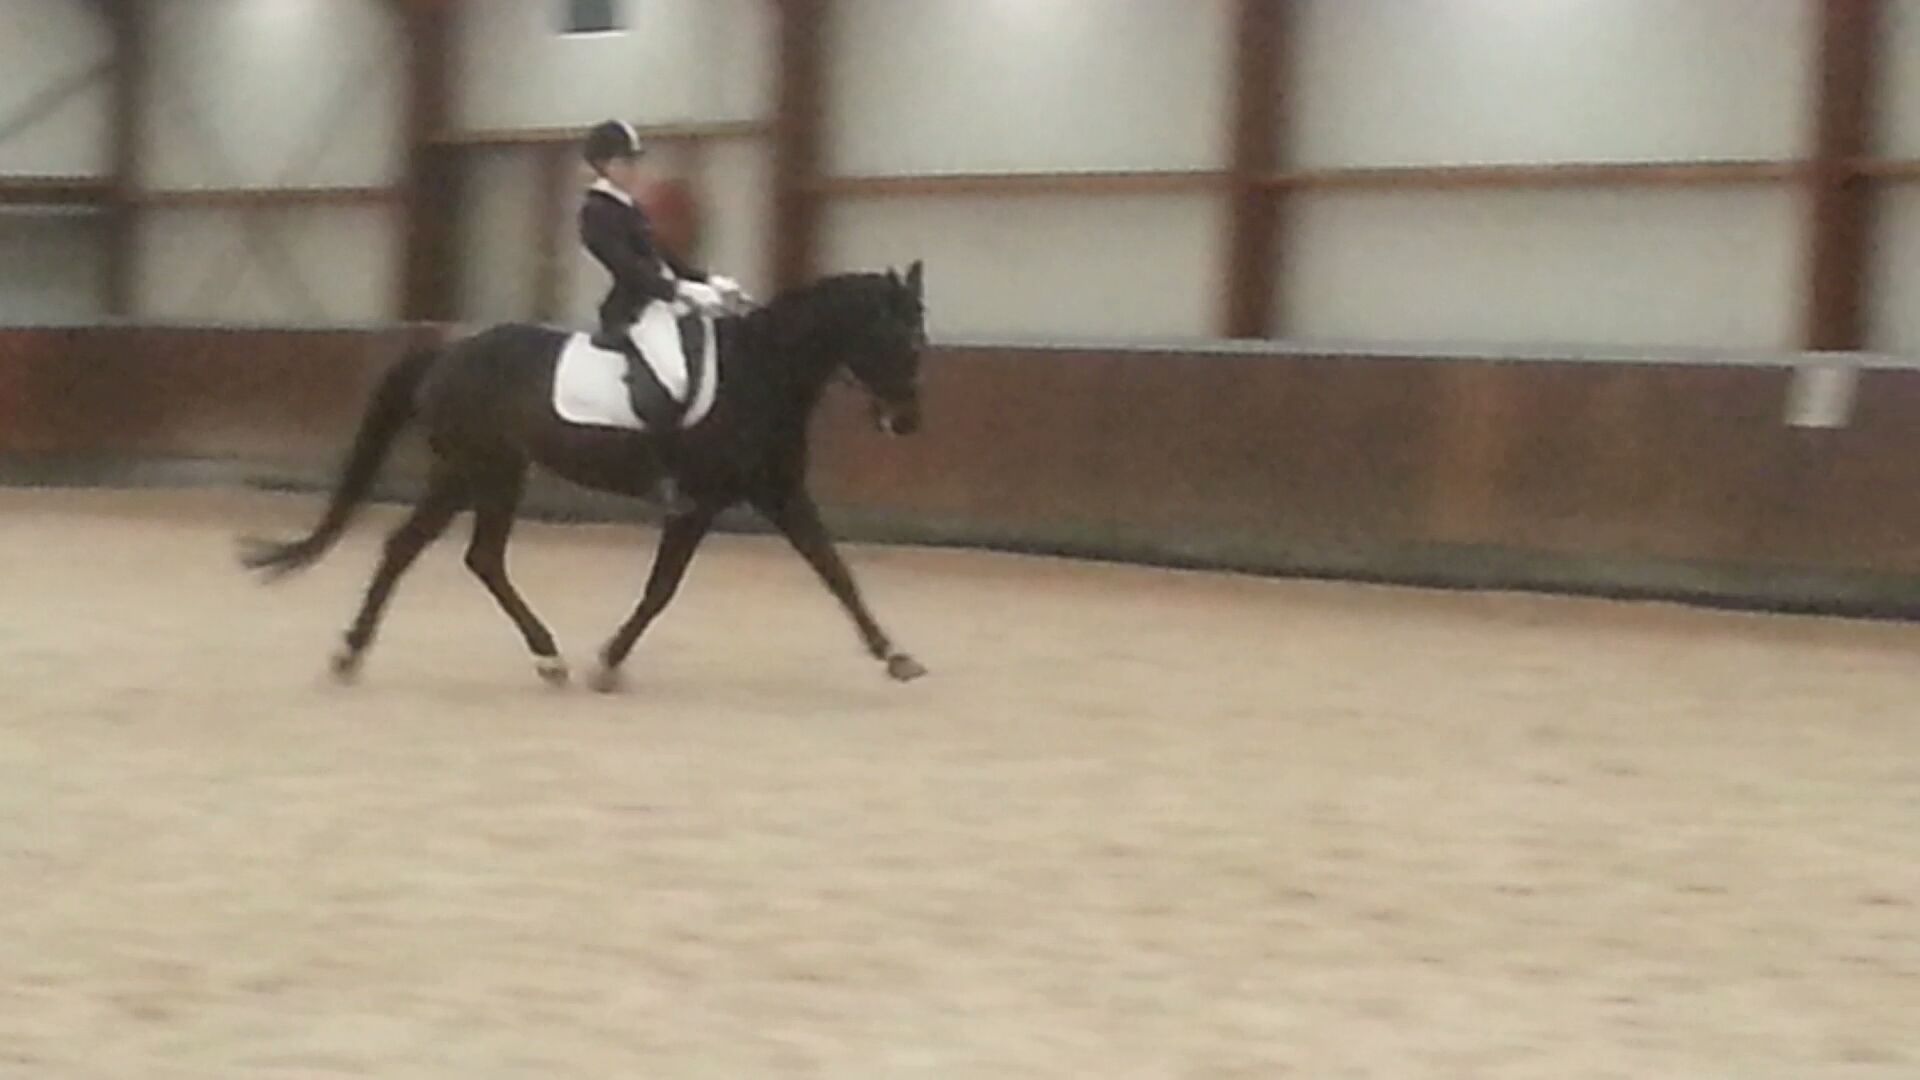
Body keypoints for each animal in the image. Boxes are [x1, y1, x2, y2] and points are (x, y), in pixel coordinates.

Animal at [240, 262, 929, 691]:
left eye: (920, 337)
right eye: (898, 338)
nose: (906, 421)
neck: (760, 373)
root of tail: (448, 351)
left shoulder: (780, 493)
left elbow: (835, 571)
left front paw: (895, 655)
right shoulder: (699, 502)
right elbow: (661, 588)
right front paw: (610, 660)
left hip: (498, 473)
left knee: (480, 557)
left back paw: (545, 657)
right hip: (470, 468)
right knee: (409, 547)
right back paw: (351, 653)